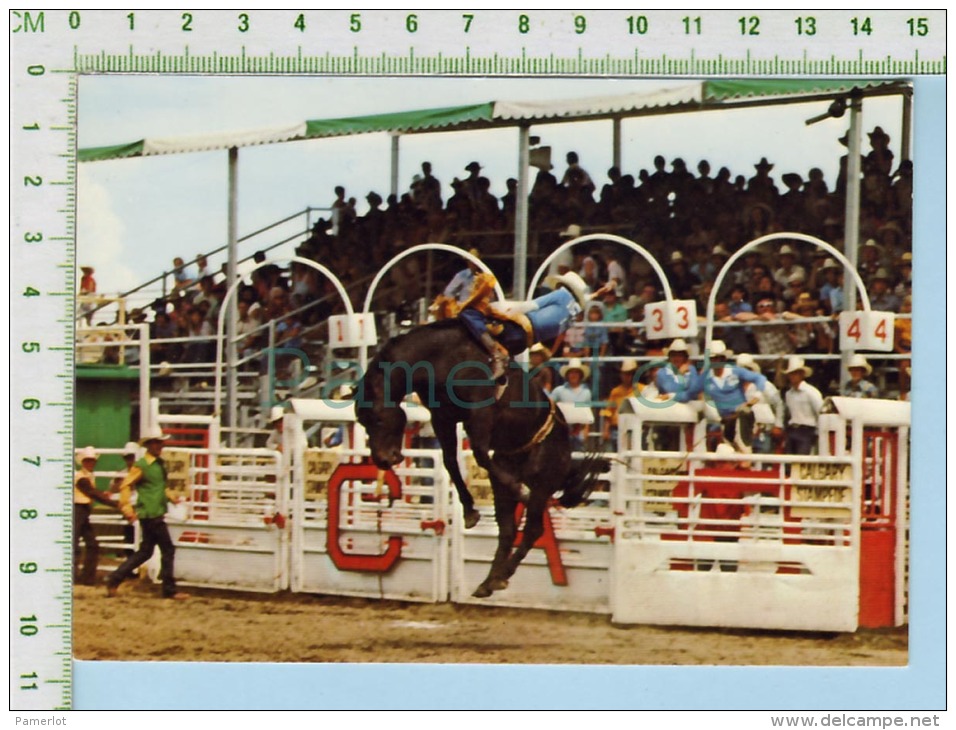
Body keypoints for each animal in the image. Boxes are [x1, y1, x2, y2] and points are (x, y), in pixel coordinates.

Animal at [352, 318, 604, 596]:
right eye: (361, 421)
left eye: (376, 418)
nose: (382, 460)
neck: (439, 355)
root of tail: (568, 456)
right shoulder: (443, 418)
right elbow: (451, 461)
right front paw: (470, 512)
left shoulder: (479, 412)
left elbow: (480, 455)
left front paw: (516, 491)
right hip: (504, 488)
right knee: (507, 531)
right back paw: (490, 581)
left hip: (542, 483)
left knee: (533, 528)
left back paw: (503, 568)